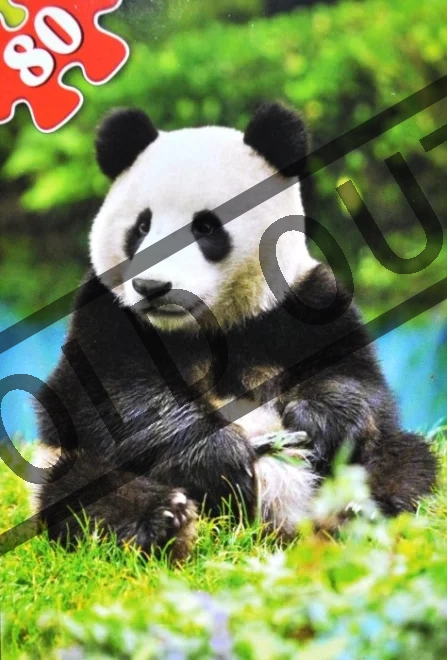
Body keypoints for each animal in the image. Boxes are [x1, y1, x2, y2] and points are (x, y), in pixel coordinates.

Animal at [34, 102, 437, 559]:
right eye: (141, 227)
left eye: (206, 227)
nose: (152, 287)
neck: (205, 324)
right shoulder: (107, 313)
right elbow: (108, 397)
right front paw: (218, 457)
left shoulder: (303, 302)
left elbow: (356, 380)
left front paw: (320, 423)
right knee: (81, 488)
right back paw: (164, 521)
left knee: (405, 462)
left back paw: (361, 511)